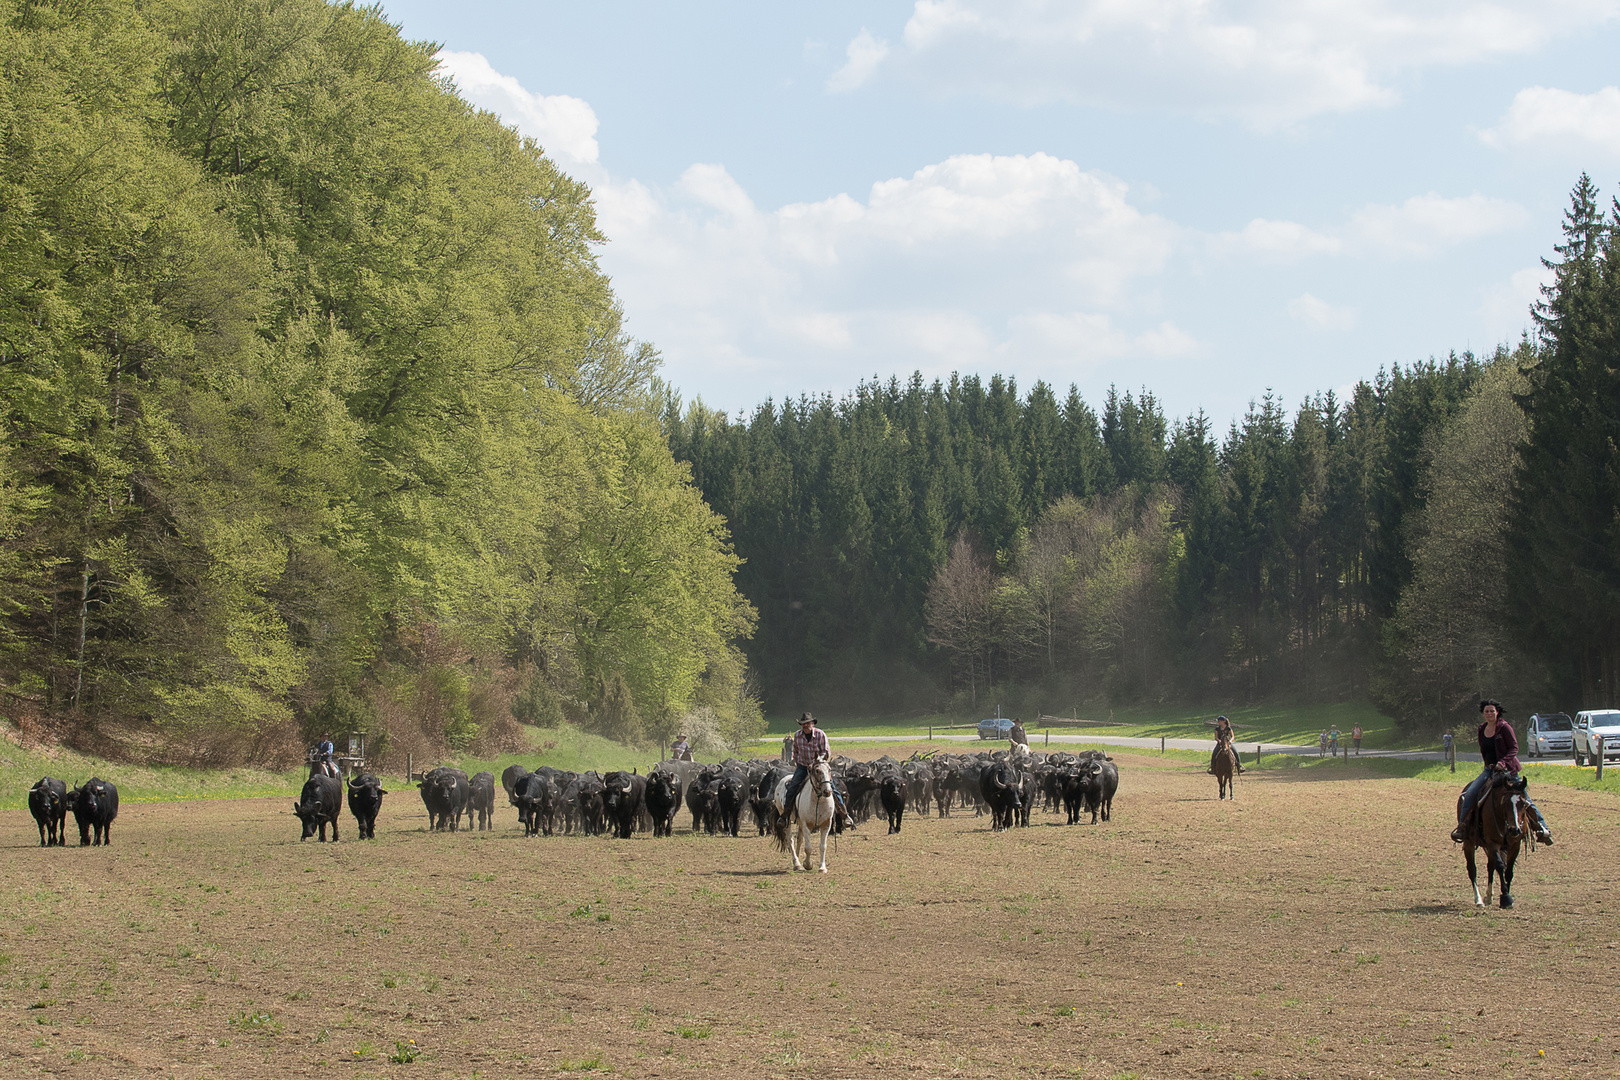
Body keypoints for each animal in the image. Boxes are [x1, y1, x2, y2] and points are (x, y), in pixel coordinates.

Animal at [1464, 773, 1522, 906]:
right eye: (1505, 802)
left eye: (1523, 803)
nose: (1514, 830)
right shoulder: (1493, 843)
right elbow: (1500, 866)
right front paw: (1505, 897)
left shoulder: (1515, 845)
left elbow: (1508, 871)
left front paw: (1507, 894)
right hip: (1469, 842)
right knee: (1472, 868)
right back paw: (1478, 900)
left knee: (1490, 866)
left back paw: (1489, 896)